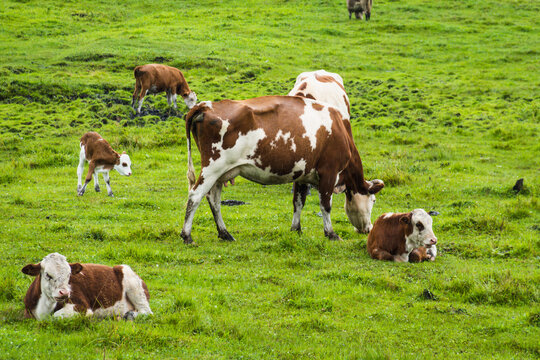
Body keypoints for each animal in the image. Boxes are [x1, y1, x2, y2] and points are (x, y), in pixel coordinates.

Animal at [181, 95, 384, 245]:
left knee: (214, 200)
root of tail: (206, 106)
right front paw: (331, 233)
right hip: (213, 167)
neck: (339, 128)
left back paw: (224, 233)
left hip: (220, 173)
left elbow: (298, 202)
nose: (368, 229)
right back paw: (187, 235)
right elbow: (325, 205)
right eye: (373, 200)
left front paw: (296, 229)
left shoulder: (303, 175)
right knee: (195, 196)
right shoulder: (329, 172)